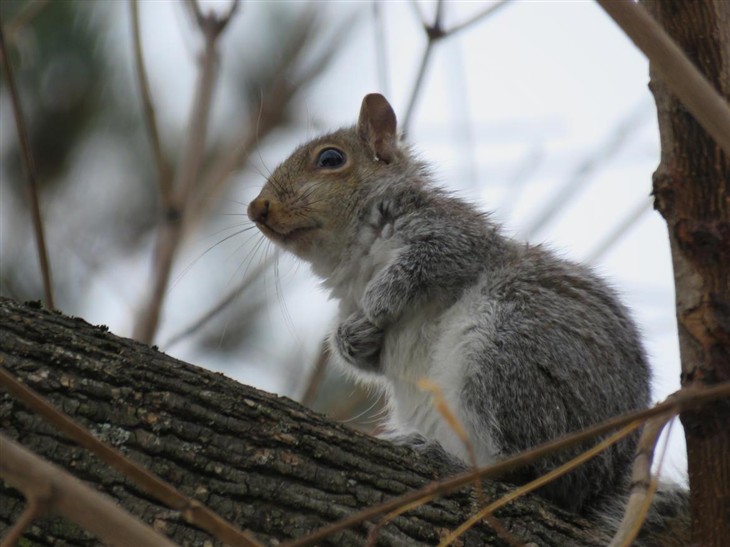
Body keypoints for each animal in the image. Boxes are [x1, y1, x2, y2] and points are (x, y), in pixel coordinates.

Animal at [247, 94, 684, 536]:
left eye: (331, 159)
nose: (257, 208)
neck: (355, 264)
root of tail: (594, 485)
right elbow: (368, 360)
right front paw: (351, 339)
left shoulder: (456, 238)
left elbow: (422, 266)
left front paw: (380, 301)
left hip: (507, 352)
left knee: (522, 473)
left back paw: (442, 457)